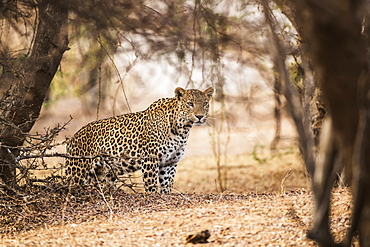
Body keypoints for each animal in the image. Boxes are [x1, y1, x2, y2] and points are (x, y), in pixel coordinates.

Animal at [66, 87, 214, 193]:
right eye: (190, 104)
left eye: (205, 104)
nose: (200, 116)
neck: (182, 129)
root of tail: (72, 139)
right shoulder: (150, 161)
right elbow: (151, 187)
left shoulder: (170, 163)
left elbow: (167, 187)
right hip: (78, 172)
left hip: (105, 174)